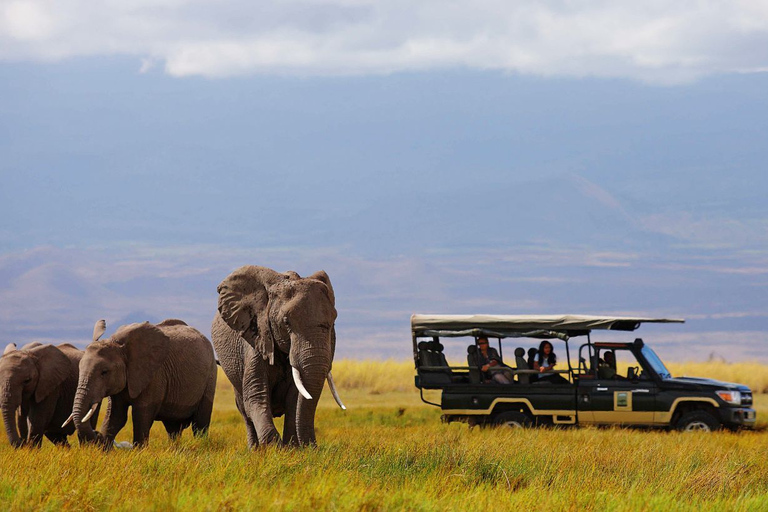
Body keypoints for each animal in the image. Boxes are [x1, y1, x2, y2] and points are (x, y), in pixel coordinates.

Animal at [71, 318, 218, 446]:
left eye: (104, 372)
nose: (97, 434)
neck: (119, 345)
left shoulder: (154, 376)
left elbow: (141, 416)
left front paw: (139, 451)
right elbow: (115, 417)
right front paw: (104, 451)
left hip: (210, 376)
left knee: (200, 423)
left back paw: (200, 445)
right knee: (173, 428)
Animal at [213, 264, 344, 448]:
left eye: (333, 321)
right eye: (286, 322)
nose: (313, 446)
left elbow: (295, 400)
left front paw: (292, 449)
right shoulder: (256, 337)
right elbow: (256, 395)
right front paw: (274, 448)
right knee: (244, 410)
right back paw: (254, 449)